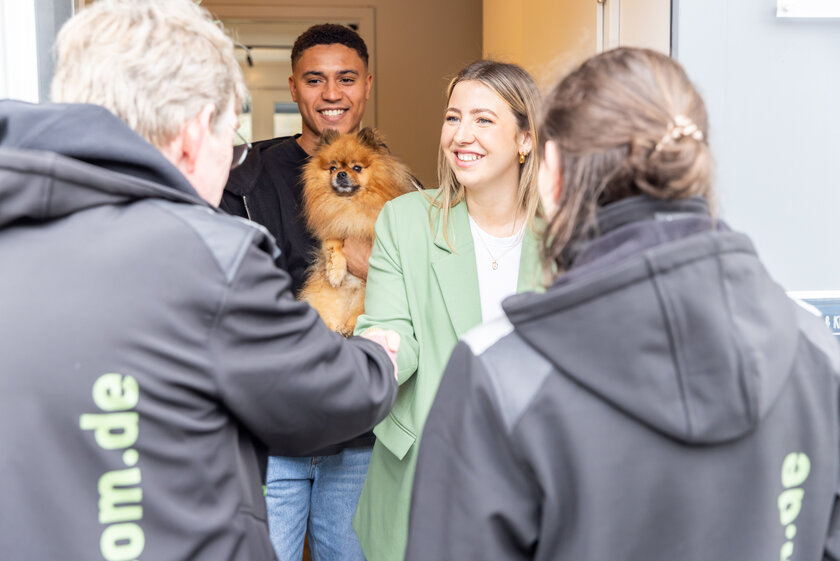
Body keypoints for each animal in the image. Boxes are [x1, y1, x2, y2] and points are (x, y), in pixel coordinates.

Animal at [299, 127, 419, 336]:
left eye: (356, 168)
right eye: (332, 168)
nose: (340, 174)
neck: (351, 204)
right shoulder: (335, 226)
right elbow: (333, 246)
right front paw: (335, 273)